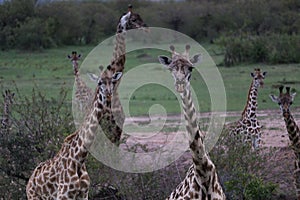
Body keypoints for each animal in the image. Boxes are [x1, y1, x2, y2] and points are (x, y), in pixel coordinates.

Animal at [25, 68, 122, 198]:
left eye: (112, 82)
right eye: (99, 82)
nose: (109, 95)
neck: (79, 159)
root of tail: (30, 181)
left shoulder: (84, 194)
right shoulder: (63, 195)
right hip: (33, 197)